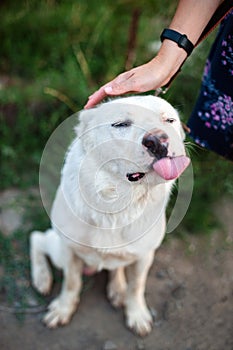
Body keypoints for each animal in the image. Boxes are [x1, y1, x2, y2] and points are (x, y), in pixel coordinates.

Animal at [30, 95, 190, 336]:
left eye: (169, 120)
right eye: (121, 124)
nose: (159, 140)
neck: (116, 202)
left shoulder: (144, 255)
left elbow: (137, 286)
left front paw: (136, 313)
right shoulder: (69, 250)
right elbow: (71, 282)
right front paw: (63, 309)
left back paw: (117, 288)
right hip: (57, 249)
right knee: (37, 238)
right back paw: (42, 278)